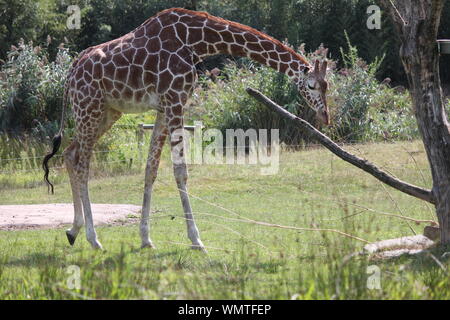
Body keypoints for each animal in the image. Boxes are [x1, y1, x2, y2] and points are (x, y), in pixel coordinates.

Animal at [43, 7, 326, 250]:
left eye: (328, 85)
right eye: (311, 85)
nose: (325, 116)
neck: (198, 41)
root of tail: (70, 73)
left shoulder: (163, 106)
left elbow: (151, 170)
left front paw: (145, 238)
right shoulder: (175, 99)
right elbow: (181, 171)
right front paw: (196, 239)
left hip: (107, 111)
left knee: (70, 153)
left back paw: (73, 230)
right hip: (88, 106)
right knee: (82, 164)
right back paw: (93, 239)